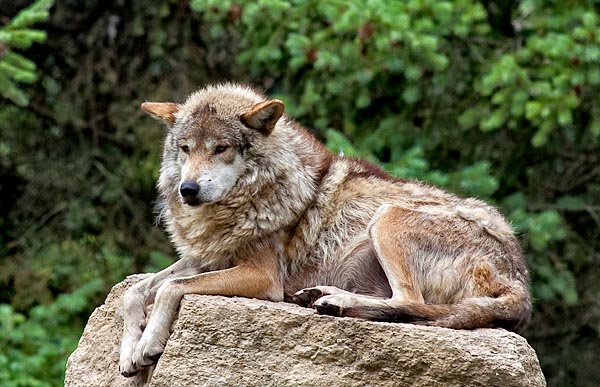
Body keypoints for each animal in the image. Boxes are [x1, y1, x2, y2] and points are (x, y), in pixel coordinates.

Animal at [117, 83, 528, 378]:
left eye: (221, 148)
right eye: (185, 149)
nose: (188, 190)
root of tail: (521, 284)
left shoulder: (262, 277)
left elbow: (170, 288)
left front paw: (149, 342)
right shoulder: (205, 258)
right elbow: (135, 291)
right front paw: (128, 351)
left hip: (387, 218)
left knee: (412, 302)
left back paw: (336, 301)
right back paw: (324, 296)